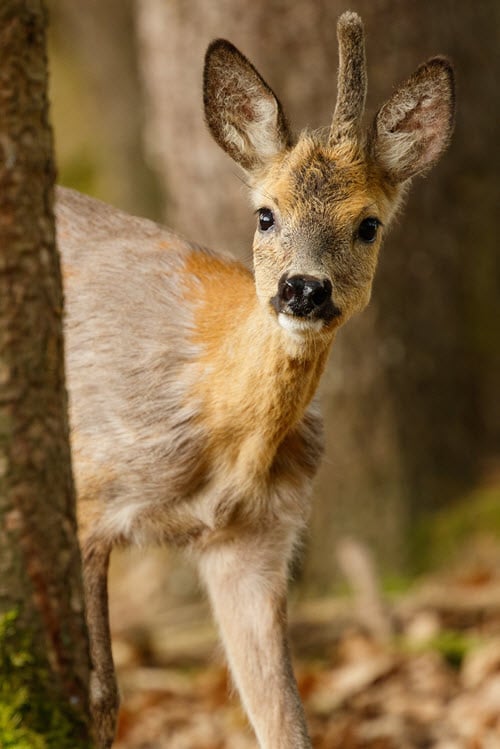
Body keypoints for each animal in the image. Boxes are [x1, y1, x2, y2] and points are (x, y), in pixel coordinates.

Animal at [54, 11, 454, 748]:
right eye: (265, 214)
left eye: (368, 225)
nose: (303, 289)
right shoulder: (88, 482)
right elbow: (101, 695)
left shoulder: (255, 537)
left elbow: (283, 715)